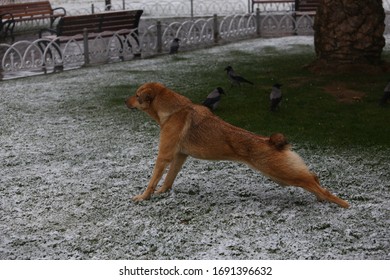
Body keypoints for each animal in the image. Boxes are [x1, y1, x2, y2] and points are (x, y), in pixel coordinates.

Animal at [125, 81, 350, 208]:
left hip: (281, 174)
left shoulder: (163, 156)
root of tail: (272, 142)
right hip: (285, 174)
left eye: (136, 95)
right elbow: (168, 179)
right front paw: (162, 193)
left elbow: (153, 180)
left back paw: (342, 204)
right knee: (314, 178)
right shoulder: (179, 156)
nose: (124, 102)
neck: (174, 110)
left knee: (315, 183)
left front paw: (143, 197)